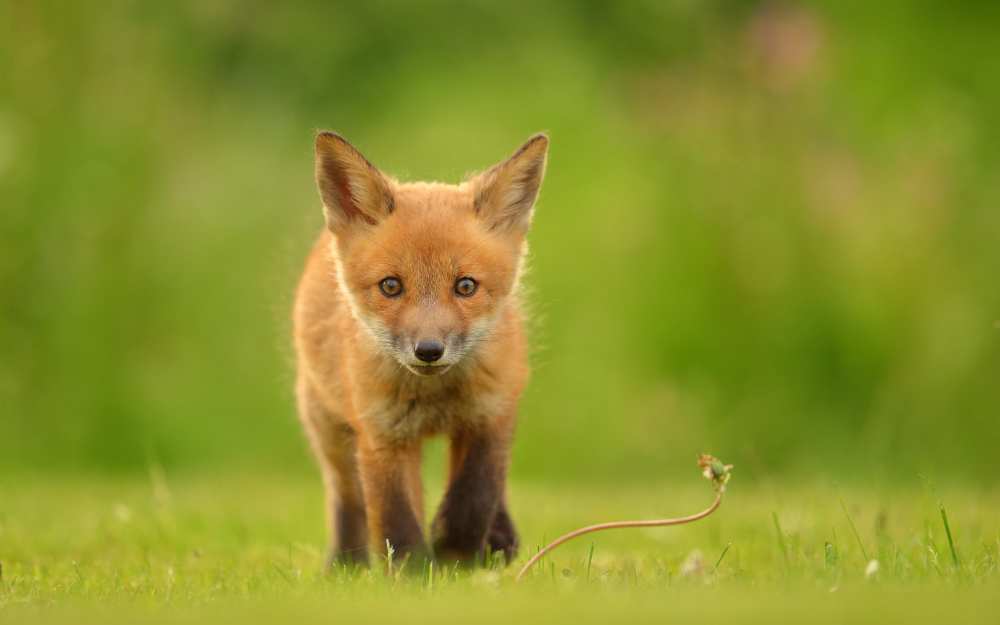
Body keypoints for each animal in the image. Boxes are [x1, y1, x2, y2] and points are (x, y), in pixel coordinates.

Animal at [292, 130, 552, 564]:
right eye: (390, 286)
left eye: (466, 286)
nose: (428, 350)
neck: (435, 397)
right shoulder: (382, 434)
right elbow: (396, 521)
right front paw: (414, 573)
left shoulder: (491, 414)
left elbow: (474, 496)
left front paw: (456, 556)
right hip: (327, 427)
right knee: (346, 497)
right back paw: (347, 563)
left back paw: (499, 540)